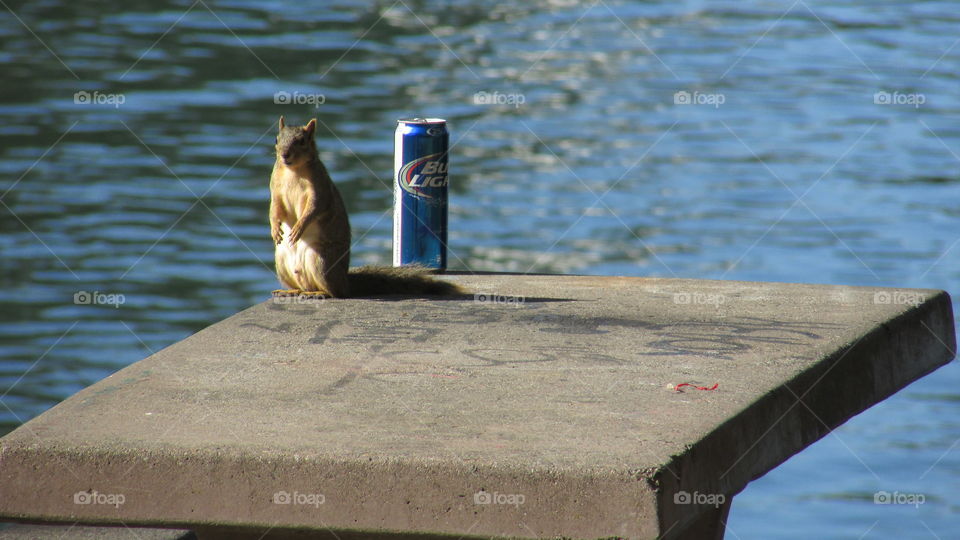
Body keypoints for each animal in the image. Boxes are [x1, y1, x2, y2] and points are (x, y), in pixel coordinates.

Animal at [269, 116, 462, 298]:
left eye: (302, 141)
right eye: (276, 139)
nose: (285, 155)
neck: (293, 171)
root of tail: (346, 282)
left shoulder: (320, 189)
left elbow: (313, 209)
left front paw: (299, 228)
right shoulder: (276, 190)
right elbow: (274, 210)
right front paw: (275, 229)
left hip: (321, 262)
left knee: (337, 292)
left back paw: (319, 293)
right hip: (282, 263)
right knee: (304, 286)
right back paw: (291, 291)